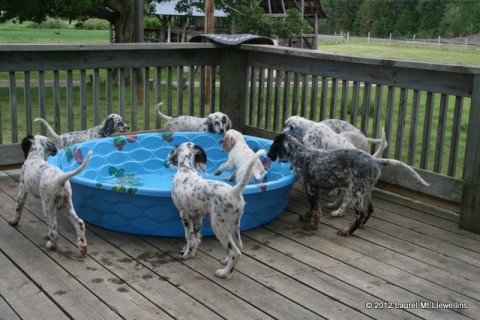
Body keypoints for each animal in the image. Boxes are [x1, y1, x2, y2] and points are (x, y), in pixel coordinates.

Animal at [169, 141, 266, 278]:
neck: (186, 168)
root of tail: (234, 191)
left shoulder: (184, 214)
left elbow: (189, 237)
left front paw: (187, 254)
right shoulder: (198, 216)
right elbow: (195, 237)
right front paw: (192, 252)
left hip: (218, 227)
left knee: (235, 252)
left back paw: (224, 272)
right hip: (233, 225)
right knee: (239, 246)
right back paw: (226, 260)